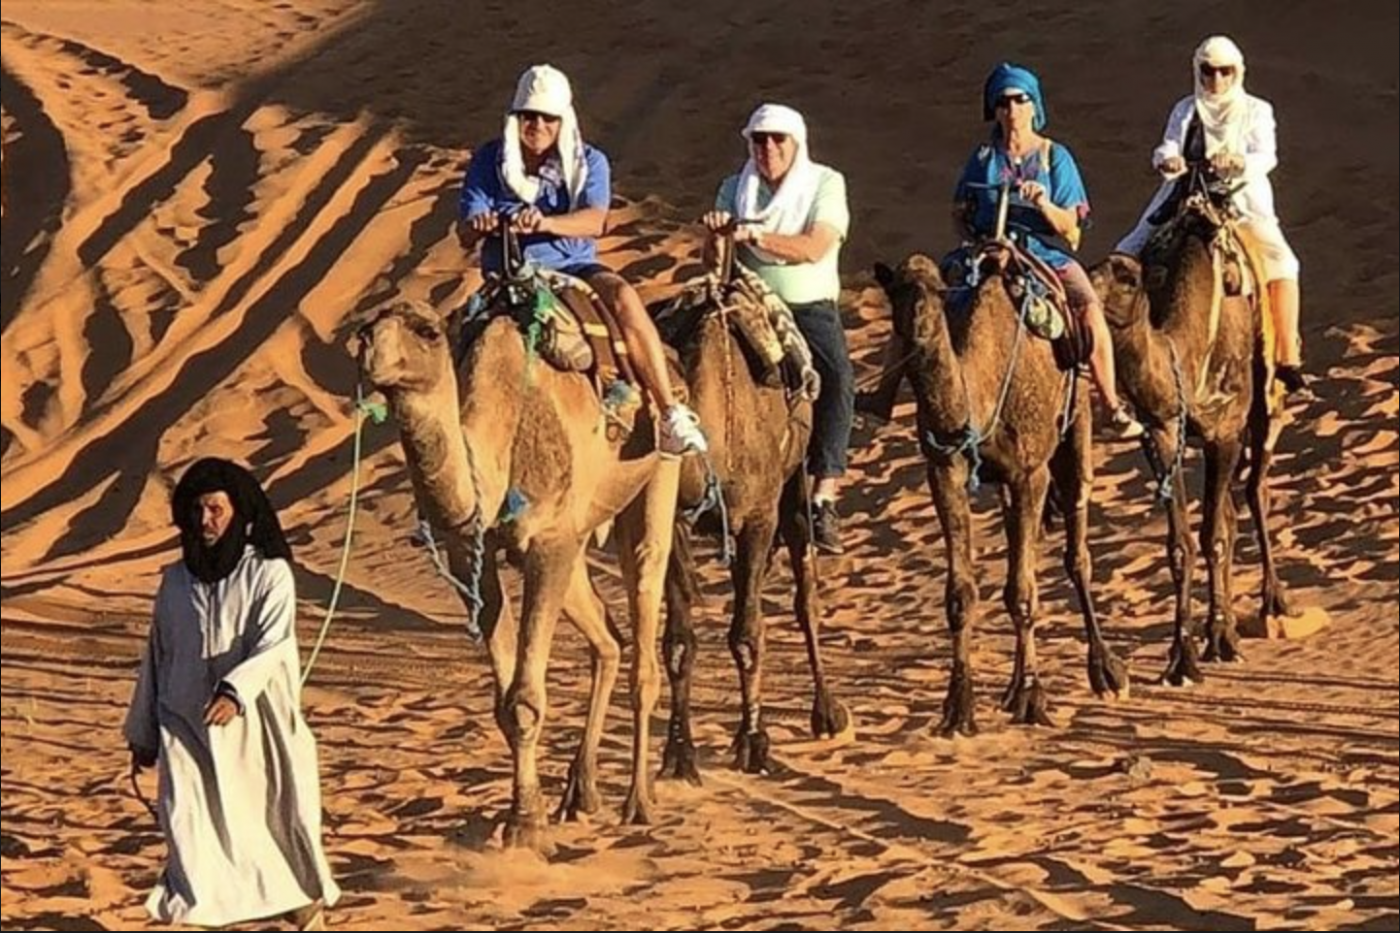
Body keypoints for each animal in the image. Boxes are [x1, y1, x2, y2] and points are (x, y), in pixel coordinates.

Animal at [350, 295, 677, 840]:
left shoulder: (548, 541)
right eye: (365, 327)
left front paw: (526, 825)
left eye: (427, 331)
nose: (368, 351)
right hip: (579, 532)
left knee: (645, 597)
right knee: (607, 638)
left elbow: (524, 699)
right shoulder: (472, 554)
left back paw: (640, 802)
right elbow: (505, 702)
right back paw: (581, 794)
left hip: (655, 476)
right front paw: (526, 811)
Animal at [660, 252, 845, 767]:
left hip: (794, 486)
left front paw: (753, 741)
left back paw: (827, 713)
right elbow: (678, 640)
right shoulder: (675, 525)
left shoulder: (758, 519)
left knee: (807, 597)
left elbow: (747, 633)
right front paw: (678, 752)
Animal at [873, 254, 1125, 734]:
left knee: (1076, 553)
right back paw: (1010, 688)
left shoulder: (1030, 473)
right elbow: (961, 594)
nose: (916, 326)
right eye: (896, 292)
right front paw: (958, 708)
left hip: (1076, 422)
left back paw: (1105, 670)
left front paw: (1031, 697)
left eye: (937, 292)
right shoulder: (944, 470)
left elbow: (1023, 592)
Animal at [1092, 190, 1288, 683]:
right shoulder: (1161, 433)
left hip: (1266, 401)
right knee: (1234, 510)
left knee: (1256, 491)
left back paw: (1274, 604)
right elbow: (1181, 543)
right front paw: (1182, 658)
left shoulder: (1225, 431)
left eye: (1127, 279)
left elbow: (1213, 535)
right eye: (1091, 267)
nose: (1077, 288)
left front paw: (1220, 640)